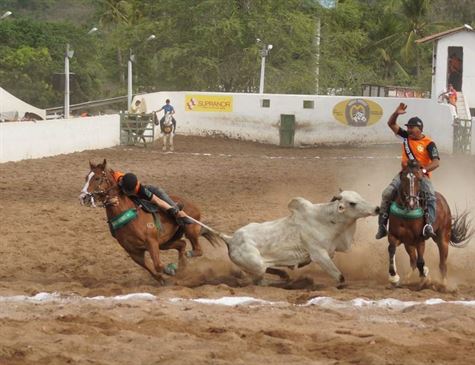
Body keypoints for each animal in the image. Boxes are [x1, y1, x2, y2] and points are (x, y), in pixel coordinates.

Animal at [78, 159, 219, 282]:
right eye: (86, 178)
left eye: (97, 178)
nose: (83, 197)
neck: (128, 215)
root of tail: (192, 204)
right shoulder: (134, 252)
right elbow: (152, 270)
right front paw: (164, 278)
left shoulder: (151, 242)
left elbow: (158, 265)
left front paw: (170, 270)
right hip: (164, 242)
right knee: (182, 244)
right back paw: (182, 267)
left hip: (189, 229)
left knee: (197, 250)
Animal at [216, 189, 380, 286]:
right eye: (352, 203)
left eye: (360, 197)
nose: (377, 208)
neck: (327, 221)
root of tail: (230, 239)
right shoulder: (319, 255)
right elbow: (340, 277)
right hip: (255, 264)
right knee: (260, 280)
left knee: (267, 270)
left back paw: (285, 276)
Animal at [388, 159, 474, 288]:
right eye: (403, 178)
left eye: (419, 179)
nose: (412, 203)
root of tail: (444, 203)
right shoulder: (395, 236)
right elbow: (392, 250)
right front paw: (394, 277)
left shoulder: (420, 239)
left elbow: (421, 261)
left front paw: (425, 279)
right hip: (409, 243)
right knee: (413, 261)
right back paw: (406, 280)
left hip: (443, 238)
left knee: (442, 263)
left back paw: (443, 285)